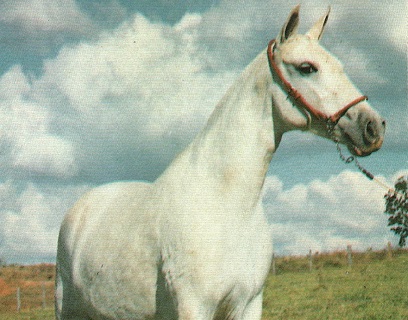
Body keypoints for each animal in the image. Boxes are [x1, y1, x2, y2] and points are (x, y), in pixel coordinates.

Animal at [55, 5, 384, 320]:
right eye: (306, 68)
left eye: (339, 66)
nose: (374, 127)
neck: (227, 204)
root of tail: (81, 208)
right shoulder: (194, 306)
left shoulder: (249, 304)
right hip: (67, 308)